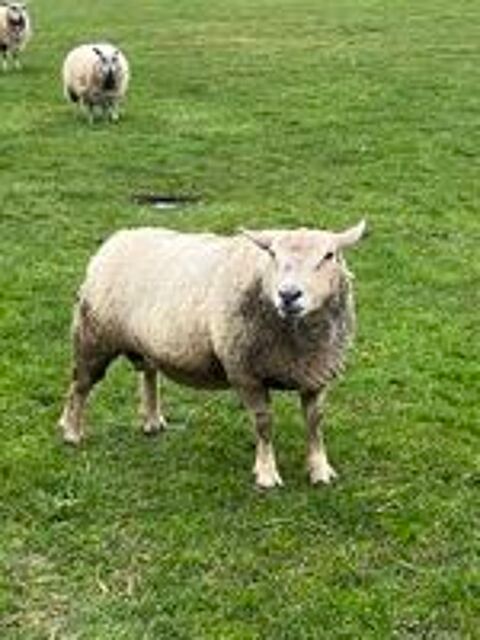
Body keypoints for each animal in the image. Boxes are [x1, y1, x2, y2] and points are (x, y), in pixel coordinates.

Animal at [58, 221, 366, 488]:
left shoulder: (317, 374)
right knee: (80, 384)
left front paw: (320, 469)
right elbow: (264, 424)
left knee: (148, 373)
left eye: (329, 255)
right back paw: (71, 431)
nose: (288, 295)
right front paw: (266, 473)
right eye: (272, 254)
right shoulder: (246, 373)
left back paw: (152, 420)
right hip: (93, 335)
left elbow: (315, 422)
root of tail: (116, 239)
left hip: (145, 341)